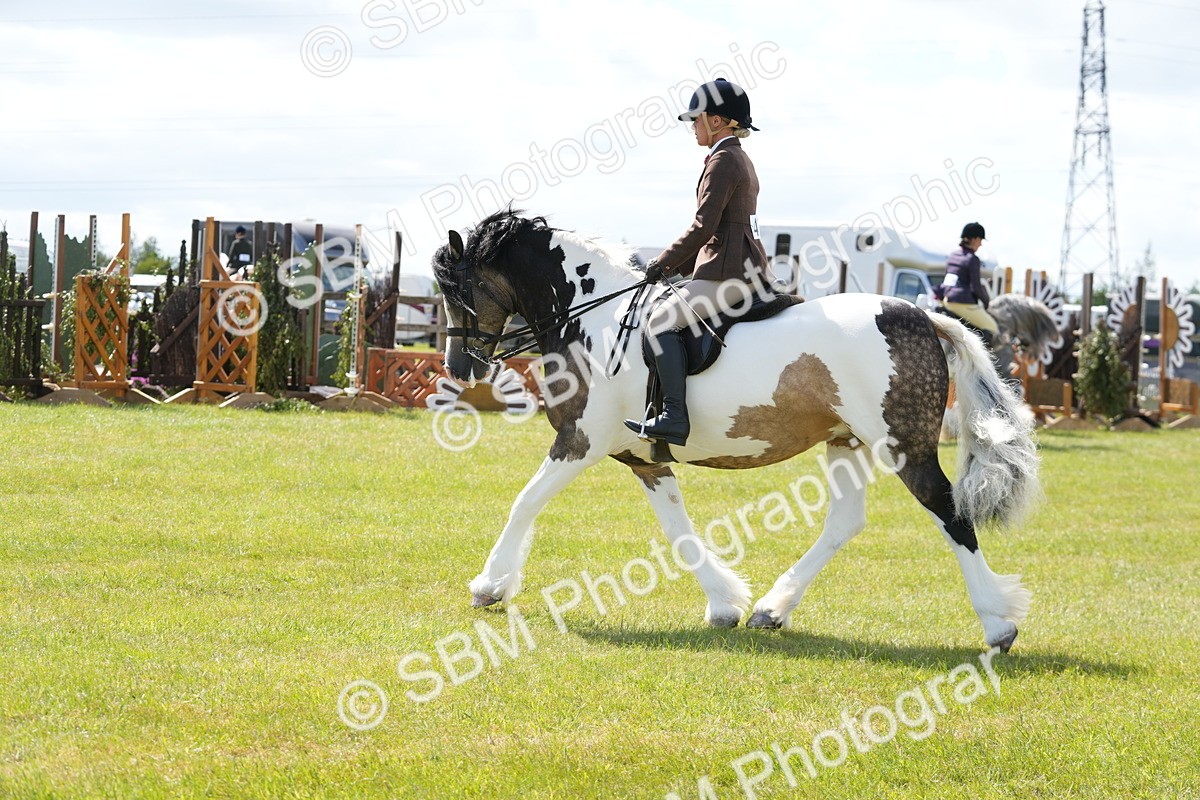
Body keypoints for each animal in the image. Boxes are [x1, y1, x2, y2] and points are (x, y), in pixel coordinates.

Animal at [432, 209, 1041, 652]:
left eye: (460, 292)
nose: (461, 368)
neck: (594, 318)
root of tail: (919, 314)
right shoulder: (645, 457)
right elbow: (678, 530)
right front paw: (724, 603)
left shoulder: (580, 441)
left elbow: (525, 501)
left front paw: (489, 586)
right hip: (846, 441)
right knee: (846, 521)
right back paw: (772, 609)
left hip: (903, 446)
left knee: (949, 511)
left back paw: (998, 624)